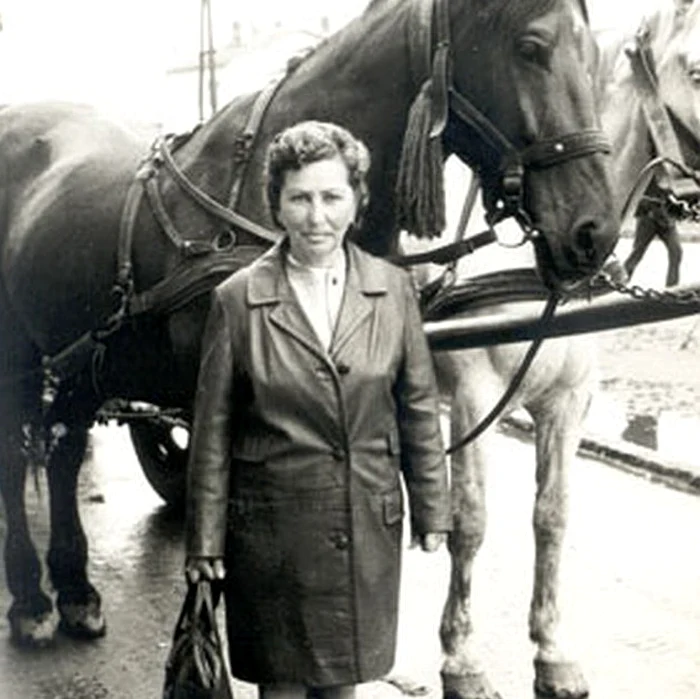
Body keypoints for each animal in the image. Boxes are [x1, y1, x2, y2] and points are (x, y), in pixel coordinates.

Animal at [0, 0, 616, 692]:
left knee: (61, 448)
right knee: (16, 461)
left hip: (86, 360)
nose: (594, 231)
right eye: (531, 47)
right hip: (21, 355)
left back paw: (76, 589)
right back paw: (30, 600)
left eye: (596, 55)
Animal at [394, 2, 700, 696]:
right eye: (696, 71)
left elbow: (552, 517)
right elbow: (471, 521)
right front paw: (462, 658)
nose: (590, 236)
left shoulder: (568, 400)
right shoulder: (474, 394)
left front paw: (552, 650)